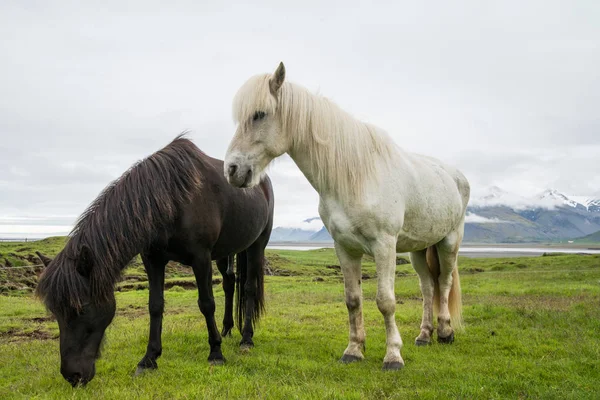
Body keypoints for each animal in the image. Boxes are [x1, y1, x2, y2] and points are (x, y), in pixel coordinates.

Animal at [35, 135, 274, 388]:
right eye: (55, 311)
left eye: (81, 309)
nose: (72, 376)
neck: (172, 197)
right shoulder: (153, 259)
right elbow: (155, 306)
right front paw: (149, 359)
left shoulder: (200, 258)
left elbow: (207, 303)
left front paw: (216, 354)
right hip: (225, 252)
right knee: (229, 284)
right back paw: (227, 329)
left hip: (256, 245)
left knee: (248, 288)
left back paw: (246, 338)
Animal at [223, 62, 472, 372]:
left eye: (259, 114)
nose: (231, 169)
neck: (356, 175)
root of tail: (456, 175)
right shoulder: (344, 247)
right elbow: (353, 300)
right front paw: (354, 350)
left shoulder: (384, 246)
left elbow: (386, 301)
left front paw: (393, 356)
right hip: (419, 248)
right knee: (428, 286)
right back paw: (425, 335)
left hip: (450, 242)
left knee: (445, 283)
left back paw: (446, 332)